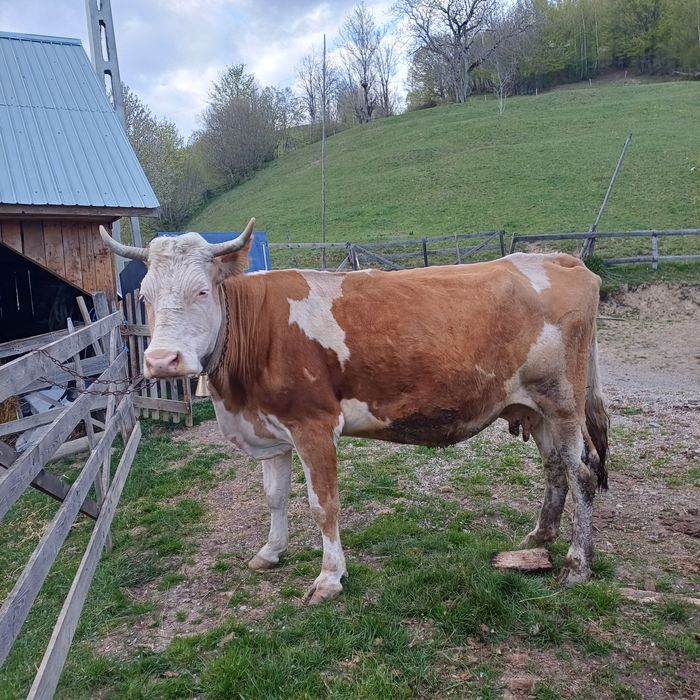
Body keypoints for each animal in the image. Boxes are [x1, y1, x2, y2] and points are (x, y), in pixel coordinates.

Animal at [101, 221, 608, 604]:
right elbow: (275, 497)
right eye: (143, 295)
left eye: (202, 291)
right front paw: (271, 551)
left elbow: (322, 503)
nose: (161, 361)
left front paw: (329, 578)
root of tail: (556, 258)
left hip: (562, 402)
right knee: (555, 468)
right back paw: (539, 536)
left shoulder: (313, 425)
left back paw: (576, 564)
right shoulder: (269, 429)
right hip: (533, 407)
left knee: (582, 472)